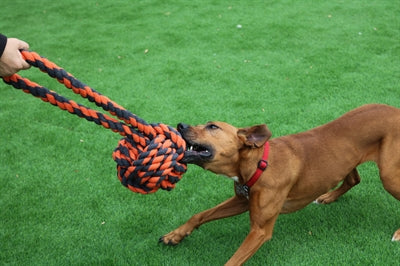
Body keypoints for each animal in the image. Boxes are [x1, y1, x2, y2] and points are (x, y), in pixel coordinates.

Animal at [159, 104, 400, 264]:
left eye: (212, 127)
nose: (180, 125)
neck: (259, 164)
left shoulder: (259, 230)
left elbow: (233, 261)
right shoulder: (241, 200)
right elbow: (199, 215)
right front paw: (175, 235)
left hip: (389, 175)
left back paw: (398, 232)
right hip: (348, 159)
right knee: (353, 179)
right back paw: (328, 196)